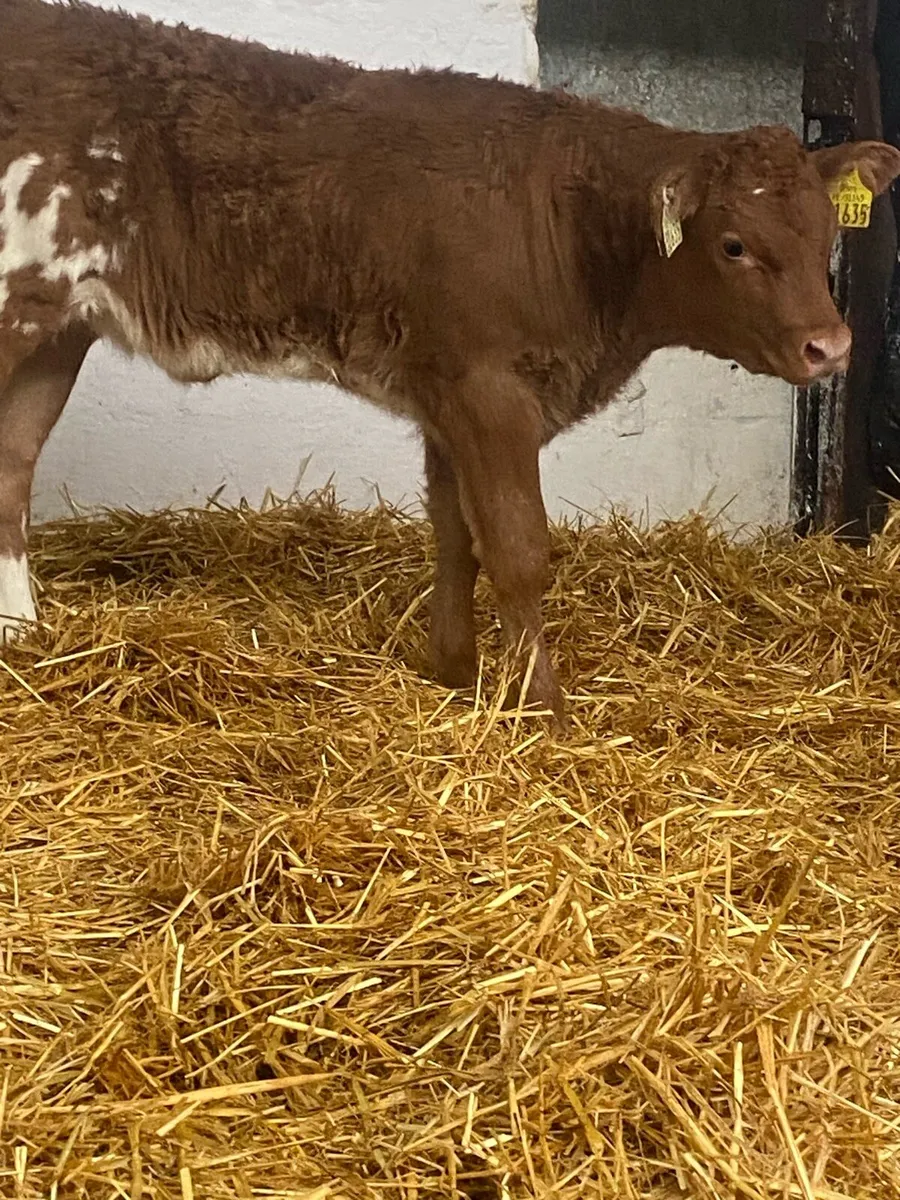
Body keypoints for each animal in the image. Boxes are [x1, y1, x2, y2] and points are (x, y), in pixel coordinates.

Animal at [2, 0, 899, 725]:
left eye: (828, 232)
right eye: (734, 244)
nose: (831, 346)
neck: (568, 229)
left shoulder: (442, 390)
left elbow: (455, 535)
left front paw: (454, 674)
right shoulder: (488, 388)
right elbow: (517, 549)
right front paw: (543, 711)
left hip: (60, 328)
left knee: (13, 465)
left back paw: (22, 635)